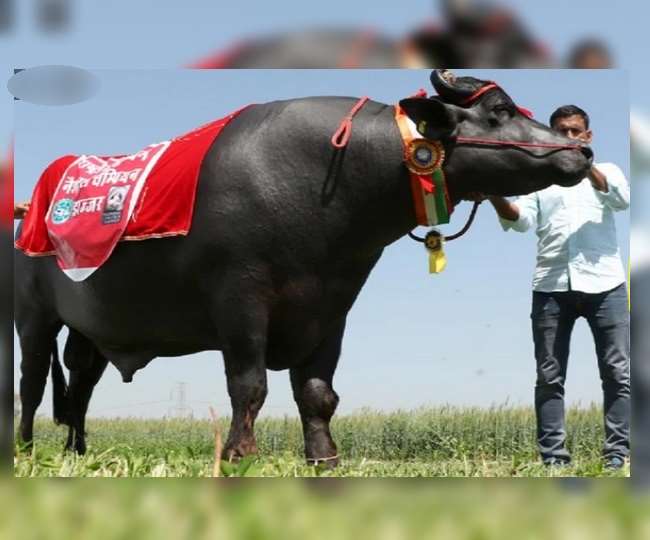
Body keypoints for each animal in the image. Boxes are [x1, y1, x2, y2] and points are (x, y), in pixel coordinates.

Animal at [15, 70, 592, 464]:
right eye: (499, 110)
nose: (580, 152)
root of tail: (29, 210)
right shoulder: (241, 299)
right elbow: (248, 385)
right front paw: (239, 454)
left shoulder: (331, 307)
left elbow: (317, 392)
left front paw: (323, 456)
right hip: (34, 317)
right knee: (33, 383)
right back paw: (23, 448)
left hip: (91, 327)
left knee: (80, 386)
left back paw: (76, 451)